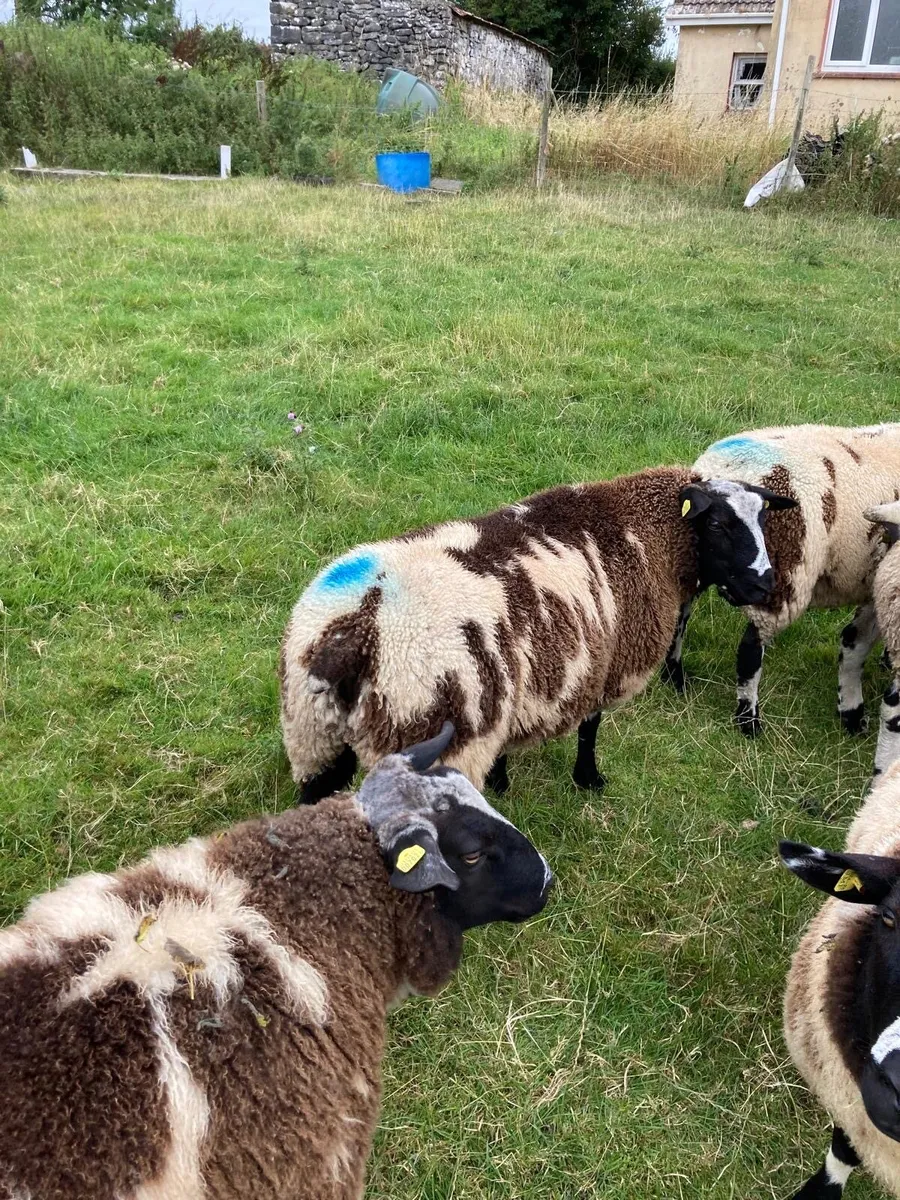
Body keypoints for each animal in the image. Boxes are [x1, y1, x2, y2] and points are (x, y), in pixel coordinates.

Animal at [279, 466, 797, 800]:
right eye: (718, 524)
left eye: (763, 520)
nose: (764, 585)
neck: (644, 532)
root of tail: (356, 632)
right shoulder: (606, 662)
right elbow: (590, 727)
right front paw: (588, 780)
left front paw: (501, 783)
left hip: (311, 736)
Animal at [667, 423, 900, 738]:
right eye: (716, 524)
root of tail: (722, 467)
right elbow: (857, 644)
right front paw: (853, 714)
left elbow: (854, 641)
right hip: (784, 578)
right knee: (750, 651)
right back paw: (749, 722)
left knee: (679, 617)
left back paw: (675, 680)